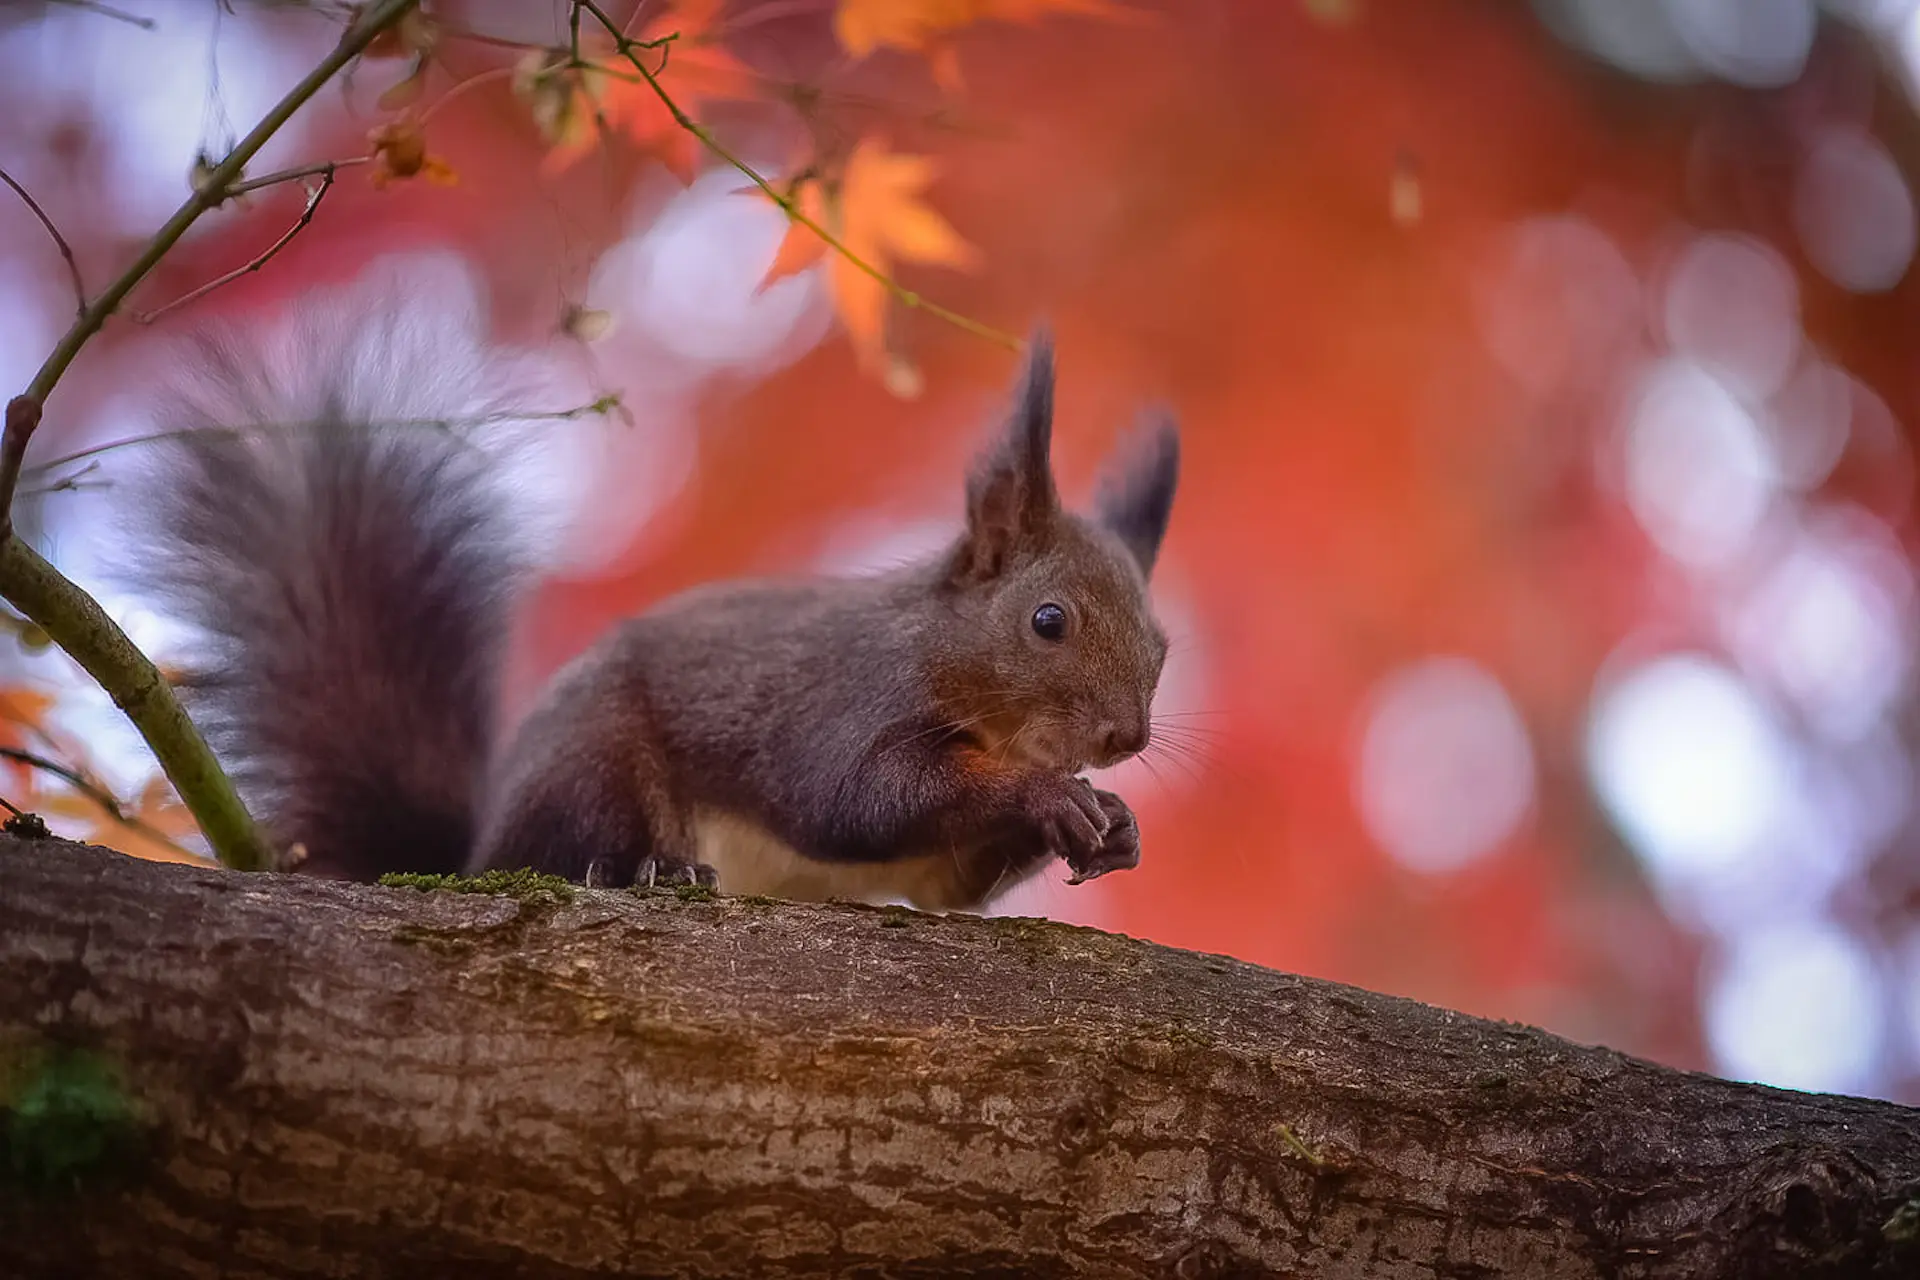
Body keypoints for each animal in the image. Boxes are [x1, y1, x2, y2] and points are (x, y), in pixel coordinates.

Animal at [127, 302, 1179, 912]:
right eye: (1048, 620)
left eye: (1163, 646)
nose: (1125, 737)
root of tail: (469, 855)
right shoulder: (844, 704)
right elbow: (862, 798)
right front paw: (1047, 795)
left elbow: (945, 885)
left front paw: (1116, 824)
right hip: (593, 768)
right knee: (565, 853)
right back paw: (651, 872)